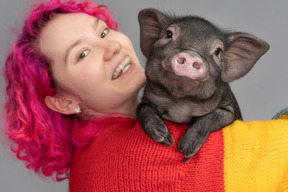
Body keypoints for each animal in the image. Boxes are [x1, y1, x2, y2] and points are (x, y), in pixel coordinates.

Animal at [136, 8, 268, 162]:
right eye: (168, 34)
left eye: (217, 51)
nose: (191, 54)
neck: (179, 106)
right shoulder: (146, 99)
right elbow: (142, 108)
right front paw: (165, 138)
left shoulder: (231, 110)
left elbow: (214, 115)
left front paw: (185, 153)